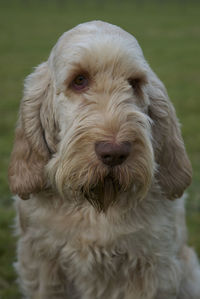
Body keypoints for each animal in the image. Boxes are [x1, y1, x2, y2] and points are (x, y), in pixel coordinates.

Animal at [8, 21, 200, 299]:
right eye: (79, 80)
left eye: (134, 83)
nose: (115, 152)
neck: (96, 205)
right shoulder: (42, 262)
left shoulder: (153, 267)